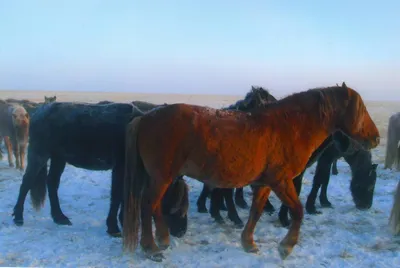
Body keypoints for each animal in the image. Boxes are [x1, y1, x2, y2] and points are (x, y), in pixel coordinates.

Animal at [10, 101, 189, 238]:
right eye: (176, 201)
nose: (181, 231)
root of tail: (37, 113)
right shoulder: (120, 168)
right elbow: (117, 195)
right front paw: (113, 227)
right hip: (39, 154)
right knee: (26, 183)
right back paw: (18, 217)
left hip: (58, 158)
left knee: (52, 183)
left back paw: (59, 217)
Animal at [123, 82, 380, 262]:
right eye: (361, 109)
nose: (376, 138)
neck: (288, 127)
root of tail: (144, 118)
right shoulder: (282, 181)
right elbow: (297, 211)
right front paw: (286, 247)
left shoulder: (264, 184)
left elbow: (256, 212)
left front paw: (249, 243)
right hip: (161, 178)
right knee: (148, 205)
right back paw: (152, 248)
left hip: (160, 179)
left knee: (155, 206)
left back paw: (163, 239)